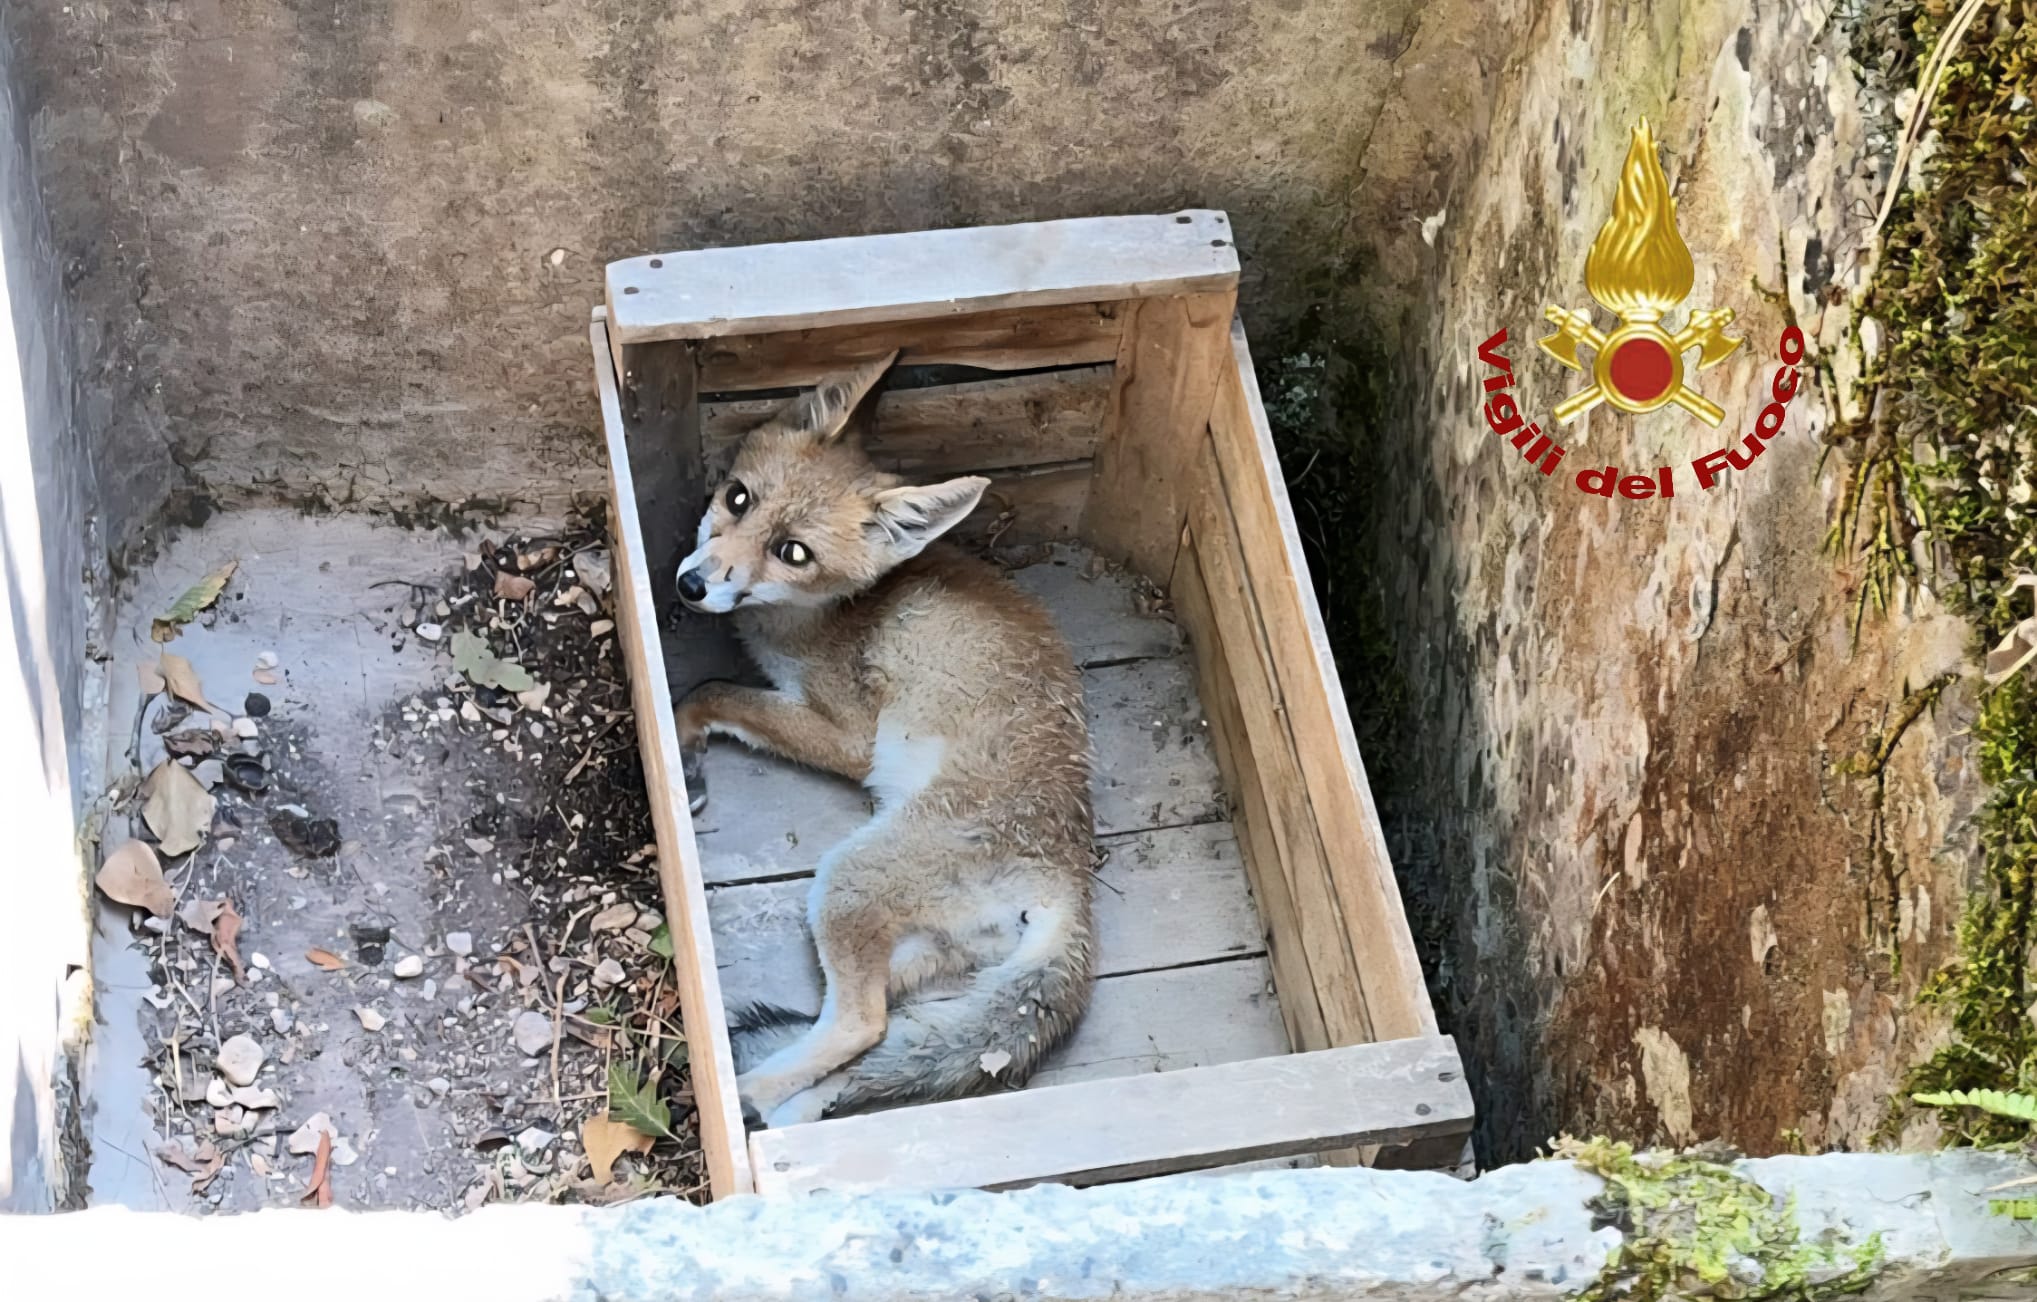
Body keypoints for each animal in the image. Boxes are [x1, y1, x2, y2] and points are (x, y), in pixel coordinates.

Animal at [670, 352, 1095, 1129]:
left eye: (792, 552)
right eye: (738, 499)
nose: (690, 586)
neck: (832, 611)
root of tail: (1071, 882)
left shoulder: (848, 735)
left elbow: (708, 693)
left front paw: (684, 765)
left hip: (844, 884)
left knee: (860, 1025)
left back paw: (748, 1096)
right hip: (906, 945)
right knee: (876, 1034)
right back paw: (799, 1111)